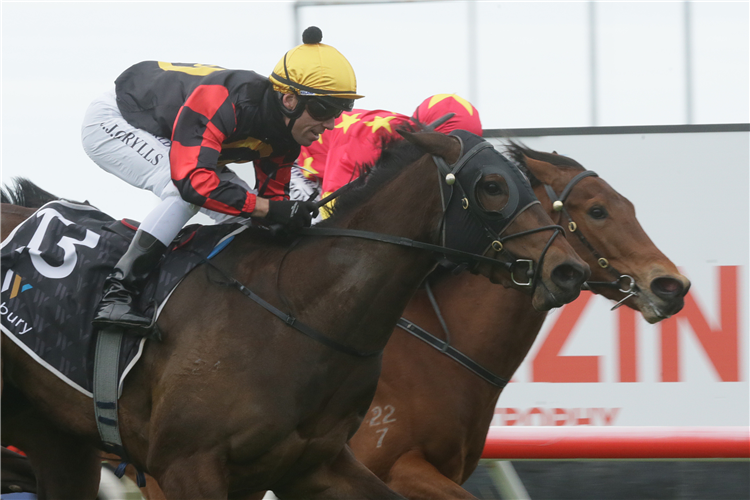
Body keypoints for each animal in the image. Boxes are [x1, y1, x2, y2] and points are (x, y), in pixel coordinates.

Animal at [0, 132, 592, 500]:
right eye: (492, 186)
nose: (568, 269)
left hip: (58, 439)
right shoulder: (185, 465)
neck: (302, 311)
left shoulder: (313, 467)